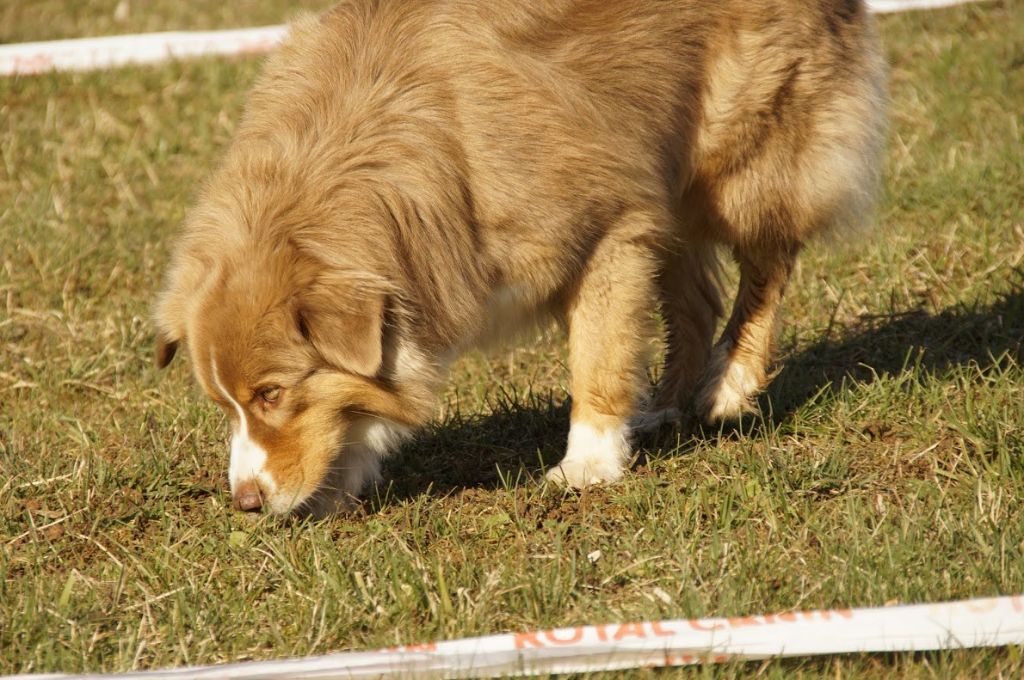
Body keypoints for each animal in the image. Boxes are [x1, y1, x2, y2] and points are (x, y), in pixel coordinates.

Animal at [153, 0, 888, 516]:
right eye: (225, 403)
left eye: (272, 393)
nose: (246, 504)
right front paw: (333, 486)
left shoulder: (608, 221)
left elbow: (597, 352)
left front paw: (587, 464)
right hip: (664, 166)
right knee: (697, 297)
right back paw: (663, 407)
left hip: (733, 153)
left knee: (768, 260)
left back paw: (729, 382)